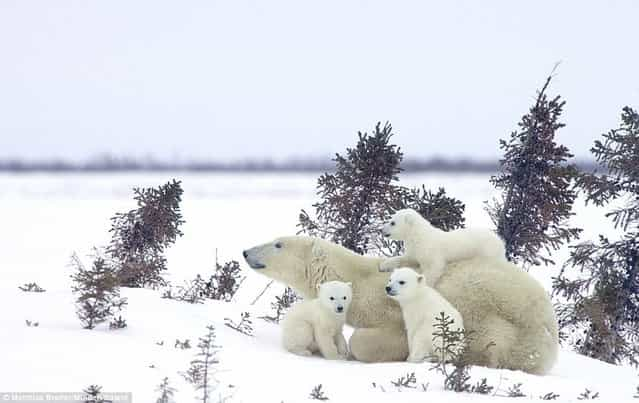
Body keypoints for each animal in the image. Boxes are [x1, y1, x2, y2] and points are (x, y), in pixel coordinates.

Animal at [245, 237, 560, 376]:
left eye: (278, 244)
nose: (246, 251)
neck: (361, 276)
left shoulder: (390, 306)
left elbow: (384, 335)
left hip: (500, 321)